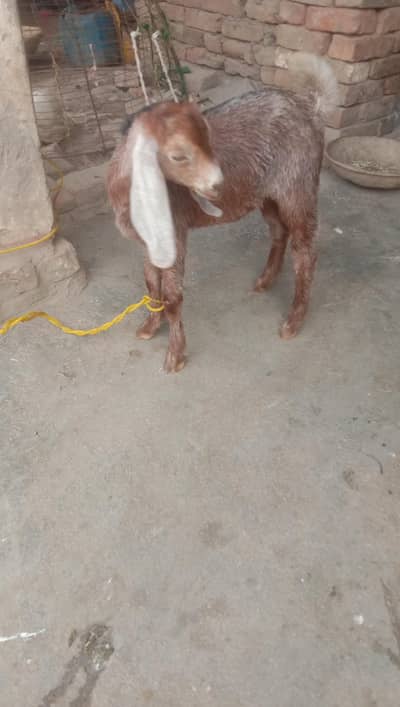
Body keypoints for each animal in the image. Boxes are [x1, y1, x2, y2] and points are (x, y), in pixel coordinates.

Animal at [107, 52, 337, 372]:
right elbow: (152, 284)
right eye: (178, 155)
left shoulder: (174, 231)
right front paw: (149, 327)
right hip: (266, 193)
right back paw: (265, 281)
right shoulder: (149, 240)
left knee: (306, 251)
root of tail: (310, 107)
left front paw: (175, 356)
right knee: (279, 231)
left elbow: (172, 296)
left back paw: (293, 322)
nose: (218, 183)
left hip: (298, 184)